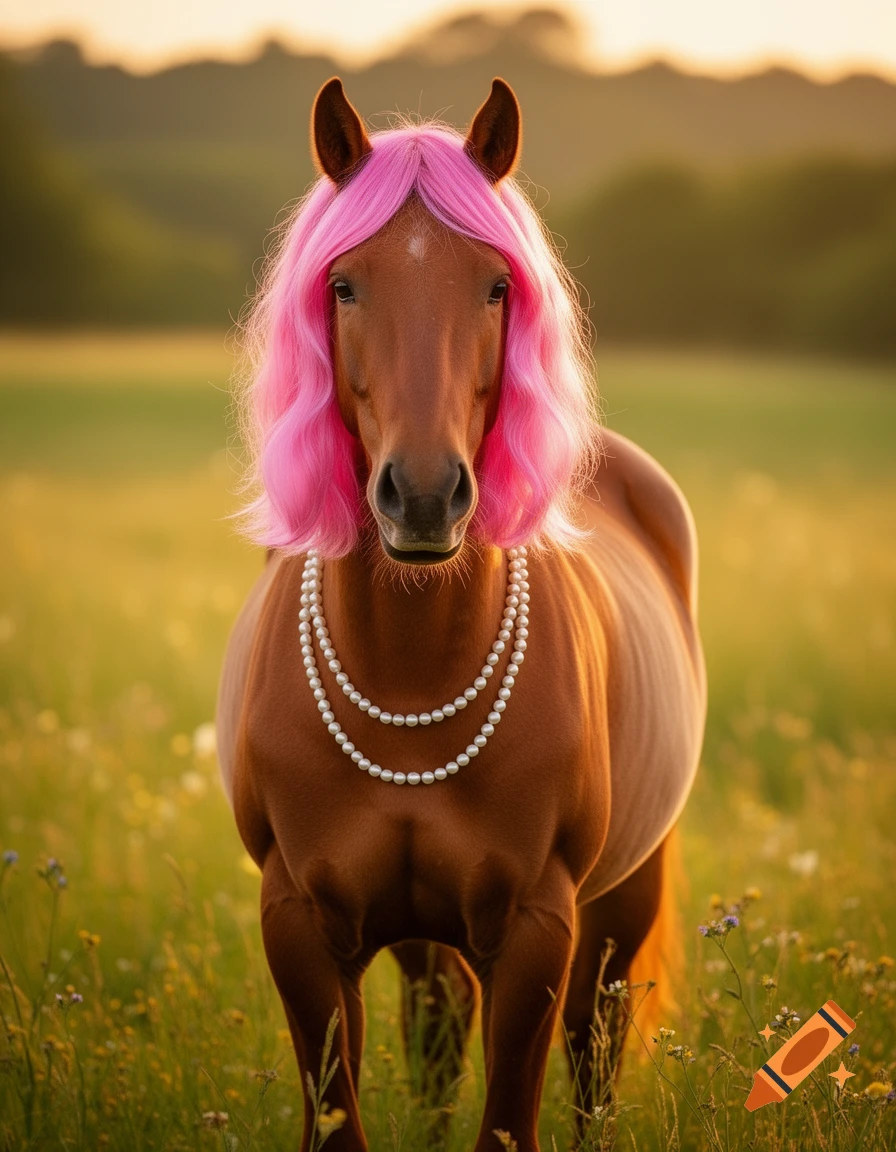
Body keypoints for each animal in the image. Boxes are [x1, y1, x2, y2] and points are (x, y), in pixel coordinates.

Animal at [217, 76, 706, 1152]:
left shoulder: (536, 929)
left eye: (493, 285)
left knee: (594, 1052)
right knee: (439, 1035)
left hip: (620, 900)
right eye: (343, 284)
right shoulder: (301, 925)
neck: (410, 668)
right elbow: (341, 1110)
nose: (426, 496)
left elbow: (513, 1113)